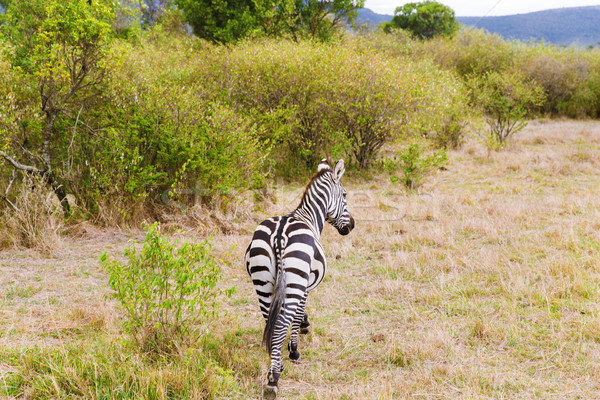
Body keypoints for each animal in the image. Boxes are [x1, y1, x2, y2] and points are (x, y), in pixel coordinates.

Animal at [245, 158, 354, 398]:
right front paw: (295, 348)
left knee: (270, 321)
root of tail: (279, 233)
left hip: (262, 281)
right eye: (344, 195)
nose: (351, 226)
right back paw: (273, 379)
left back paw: (274, 364)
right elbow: (296, 316)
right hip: (292, 280)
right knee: (280, 323)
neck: (308, 217)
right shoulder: (305, 286)